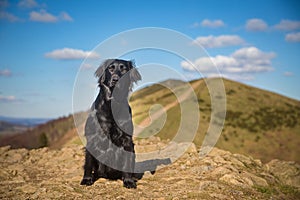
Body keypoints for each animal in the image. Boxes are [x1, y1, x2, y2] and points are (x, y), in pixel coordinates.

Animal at [81, 58, 142, 188]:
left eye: (124, 69)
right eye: (110, 68)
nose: (115, 79)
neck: (111, 105)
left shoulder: (127, 140)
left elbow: (127, 163)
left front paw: (128, 181)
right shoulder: (92, 138)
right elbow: (88, 163)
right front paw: (87, 179)